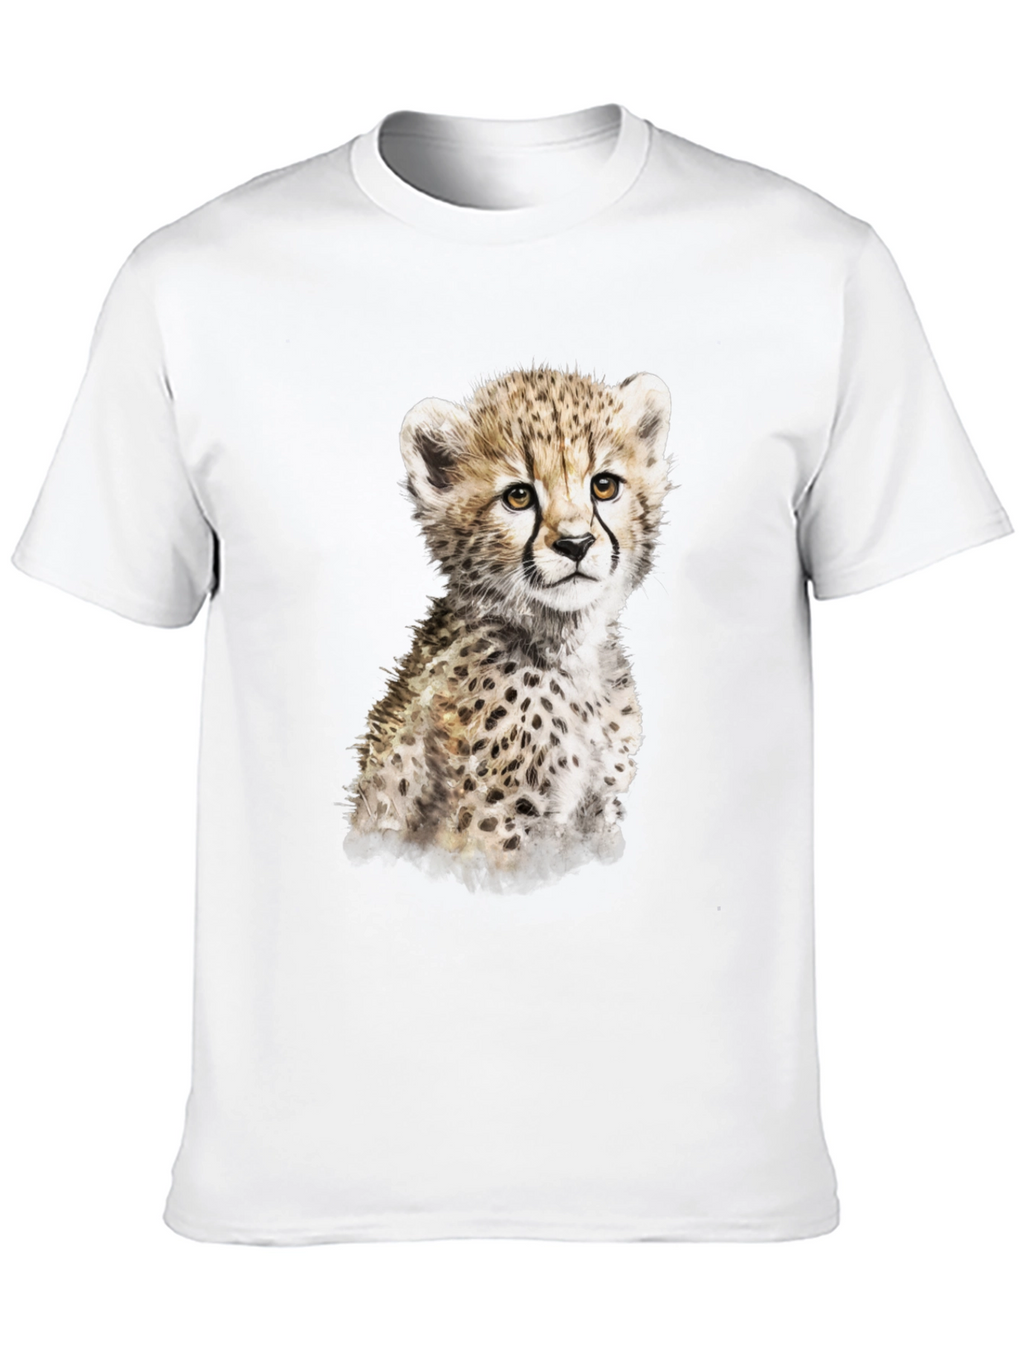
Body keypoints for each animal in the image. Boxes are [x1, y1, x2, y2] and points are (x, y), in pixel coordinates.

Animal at [344, 365, 673, 890]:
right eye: (518, 496)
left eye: (604, 486)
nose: (576, 544)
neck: (567, 650)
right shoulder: (494, 825)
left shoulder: (599, 809)